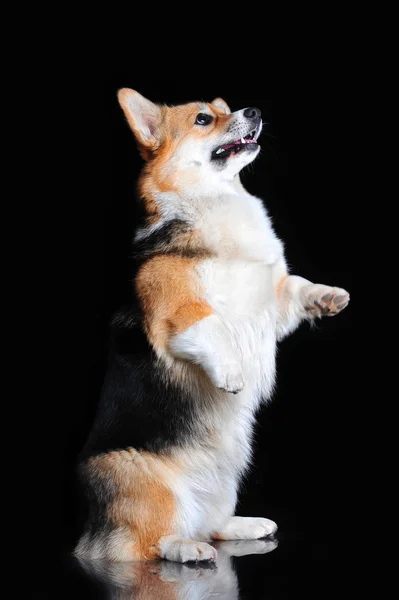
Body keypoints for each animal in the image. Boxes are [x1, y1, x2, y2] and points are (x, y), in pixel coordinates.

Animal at [75, 88, 350, 564]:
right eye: (204, 119)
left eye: (224, 109)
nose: (254, 111)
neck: (216, 199)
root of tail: (91, 533)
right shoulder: (177, 312)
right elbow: (212, 328)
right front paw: (233, 373)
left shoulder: (270, 302)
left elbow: (296, 286)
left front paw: (327, 296)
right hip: (147, 481)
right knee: (148, 542)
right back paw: (186, 548)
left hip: (226, 483)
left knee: (212, 523)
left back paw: (244, 525)